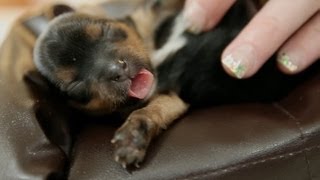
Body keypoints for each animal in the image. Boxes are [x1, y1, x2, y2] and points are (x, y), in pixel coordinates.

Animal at [31, 0, 318, 168]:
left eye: (105, 30)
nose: (116, 70)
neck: (154, 48)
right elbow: (148, 111)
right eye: (76, 88)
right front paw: (132, 138)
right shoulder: (170, 97)